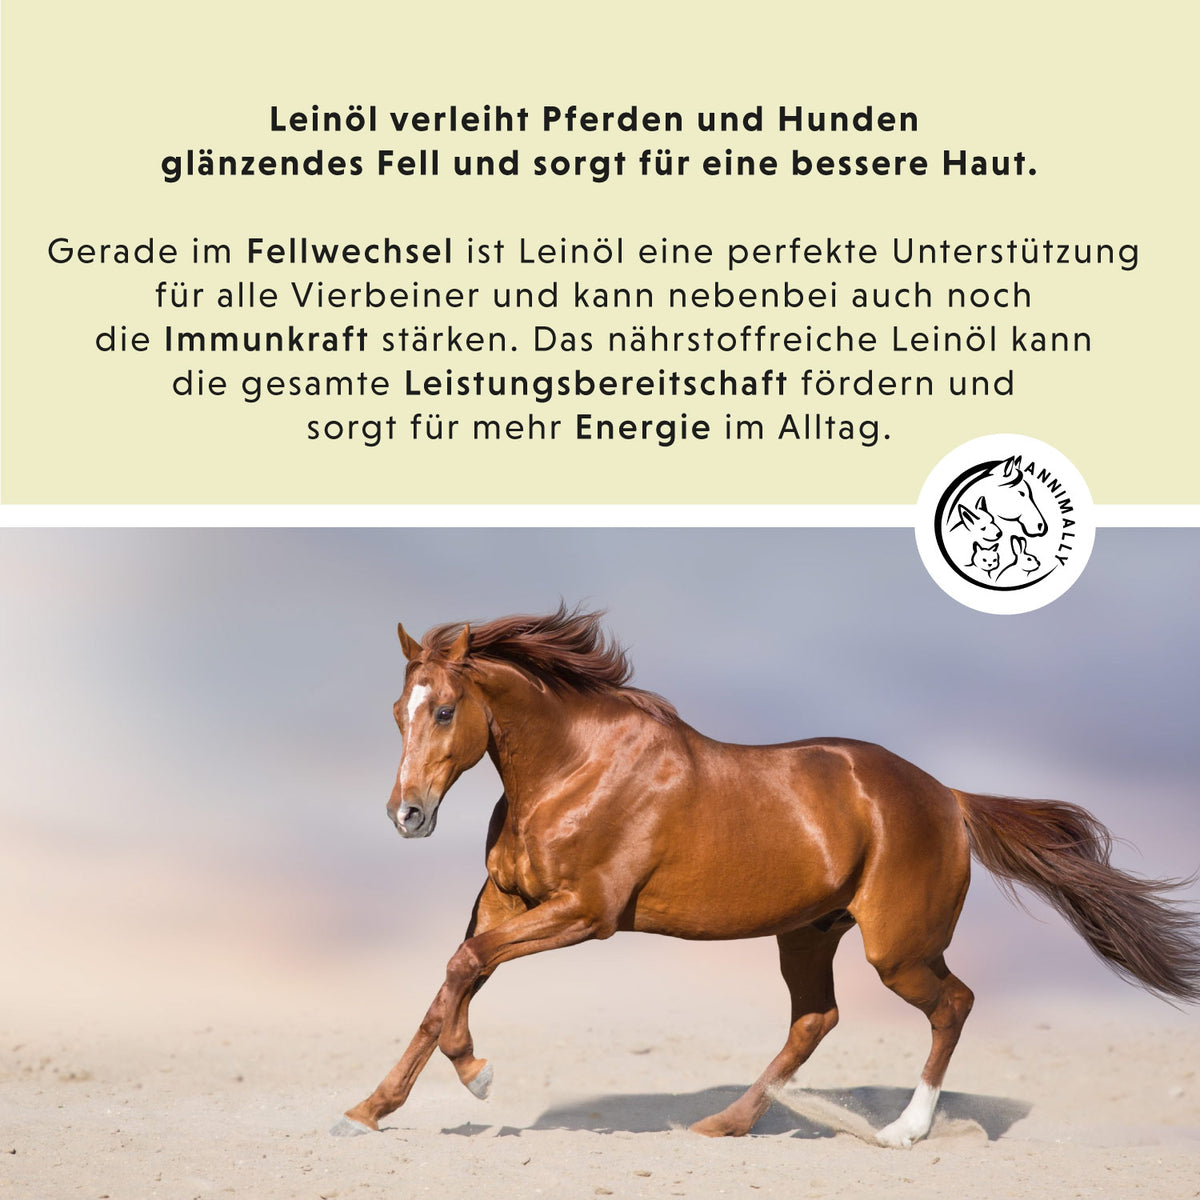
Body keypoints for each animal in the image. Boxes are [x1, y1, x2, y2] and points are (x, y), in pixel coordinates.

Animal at [334, 606, 1200, 1146]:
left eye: (445, 710)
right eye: (396, 711)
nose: (407, 815)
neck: (571, 768)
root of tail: (947, 797)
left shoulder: (585, 912)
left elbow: (463, 970)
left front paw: (477, 1075)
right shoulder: (503, 902)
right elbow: (450, 982)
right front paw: (368, 1110)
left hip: (897, 948)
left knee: (952, 1004)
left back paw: (903, 1131)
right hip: (808, 934)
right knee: (815, 1020)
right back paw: (722, 1124)